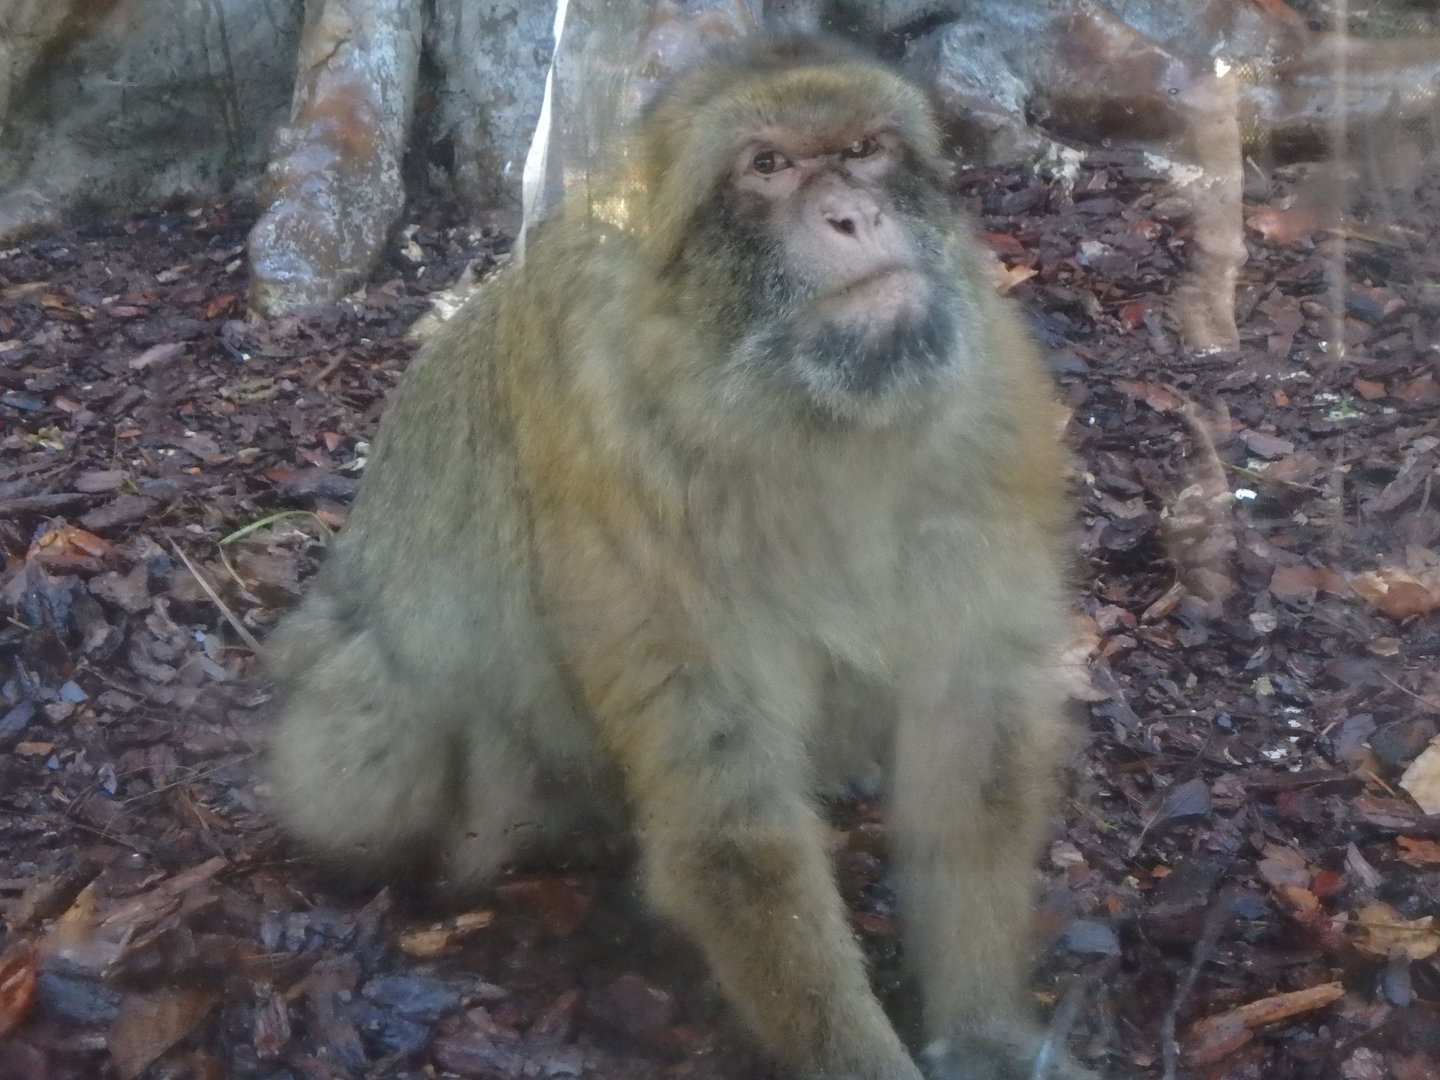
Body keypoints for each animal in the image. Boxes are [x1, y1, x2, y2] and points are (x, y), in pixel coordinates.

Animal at [267, 36, 1089, 1080]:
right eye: (767, 166)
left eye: (864, 151)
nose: (854, 215)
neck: (803, 414)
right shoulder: (623, 465)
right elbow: (728, 819)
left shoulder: (987, 410)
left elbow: (974, 748)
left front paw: (986, 1035)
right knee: (383, 716)